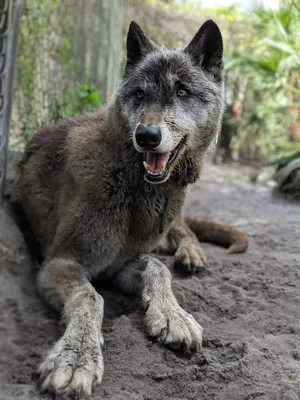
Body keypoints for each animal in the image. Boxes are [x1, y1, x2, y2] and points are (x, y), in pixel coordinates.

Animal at [15, 21, 247, 396]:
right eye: (138, 94)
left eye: (182, 92)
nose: (147, 136)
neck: (131, 180)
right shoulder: (59, 264)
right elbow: (91, 297)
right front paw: (75, 358)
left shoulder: (123, 263)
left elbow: (158, 267)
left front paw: (173, 315)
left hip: (173, 221)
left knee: (184, 233)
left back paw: (191, 253)